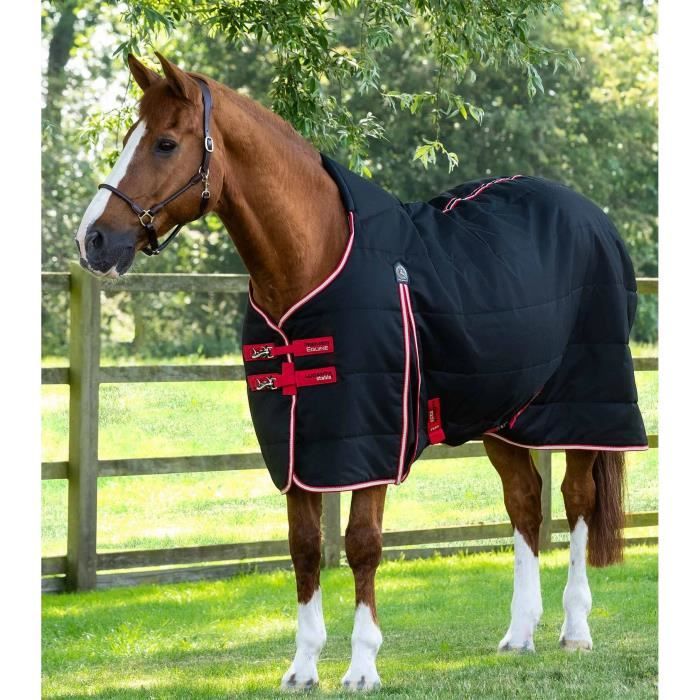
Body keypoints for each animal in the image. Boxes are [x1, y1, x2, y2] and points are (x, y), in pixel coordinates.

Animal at [75, 53, 646, 691]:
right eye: (130, 136)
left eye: (166, 143)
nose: (93, 240)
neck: (315, 257)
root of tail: (592, 217)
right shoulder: (298, 445)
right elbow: (304, 546)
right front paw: (302, 668)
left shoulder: (372, 437)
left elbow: (362, 544)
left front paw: (363, 666)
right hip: (503, 413)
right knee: (524, 501)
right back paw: (519, 634)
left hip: (584, 405)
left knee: (576, 501)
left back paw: (575, 630)